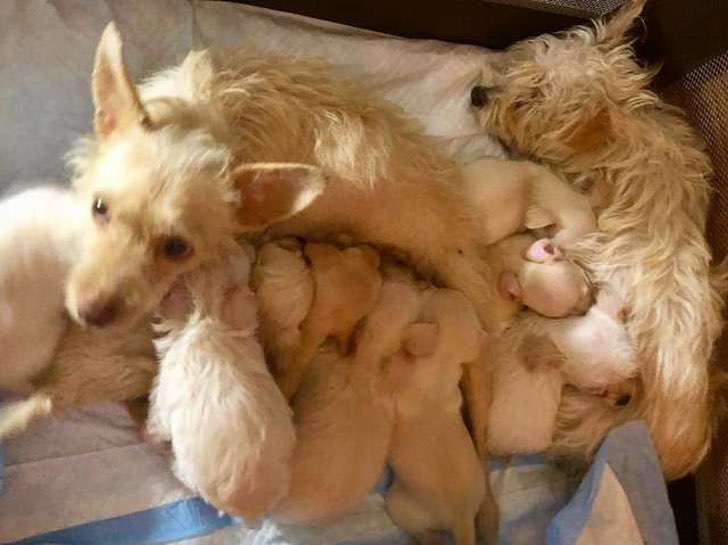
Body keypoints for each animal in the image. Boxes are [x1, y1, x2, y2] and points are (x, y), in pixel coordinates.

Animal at [386, 288, 490, 544]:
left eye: (432, 296)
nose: (432, 286)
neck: (439, 369)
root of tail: (461, 519)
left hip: (398, 505)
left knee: (426, 535)